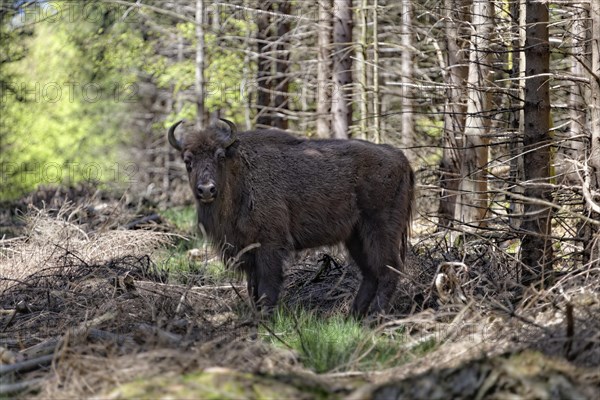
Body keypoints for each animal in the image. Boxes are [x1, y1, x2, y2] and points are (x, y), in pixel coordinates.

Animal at [169, 119, 412, 316]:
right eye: (188, 161)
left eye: (220, 156)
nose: (206, 190)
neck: (240, 174)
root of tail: (400, 157)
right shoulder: (247, 250)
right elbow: (252, 287)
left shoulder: (269, 245)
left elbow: (267, 284)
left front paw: (266, 317)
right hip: (355, 238)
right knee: (370, 274)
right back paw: (353, 316)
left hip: (380, 231)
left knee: (389, 269)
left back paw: (375, 317)